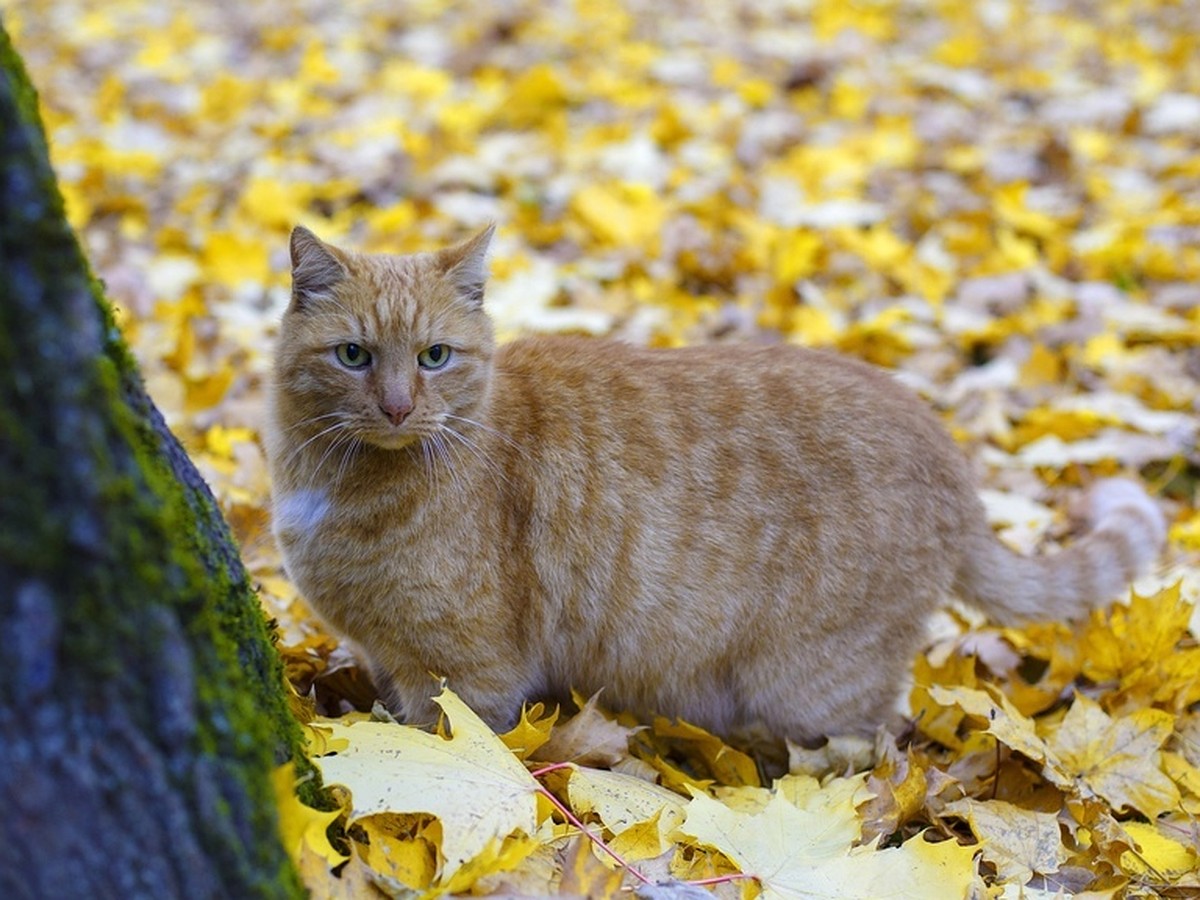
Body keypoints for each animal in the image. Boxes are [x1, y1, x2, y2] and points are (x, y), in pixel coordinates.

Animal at [267, 224, 1166, 739]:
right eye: (353, 355)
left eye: (434, 357)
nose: (396, 406)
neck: (335, 480)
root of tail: (948, 452)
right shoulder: (387, 655)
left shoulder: (465, 672)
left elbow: (449, 750)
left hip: (814, 685)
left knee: (880, 748)